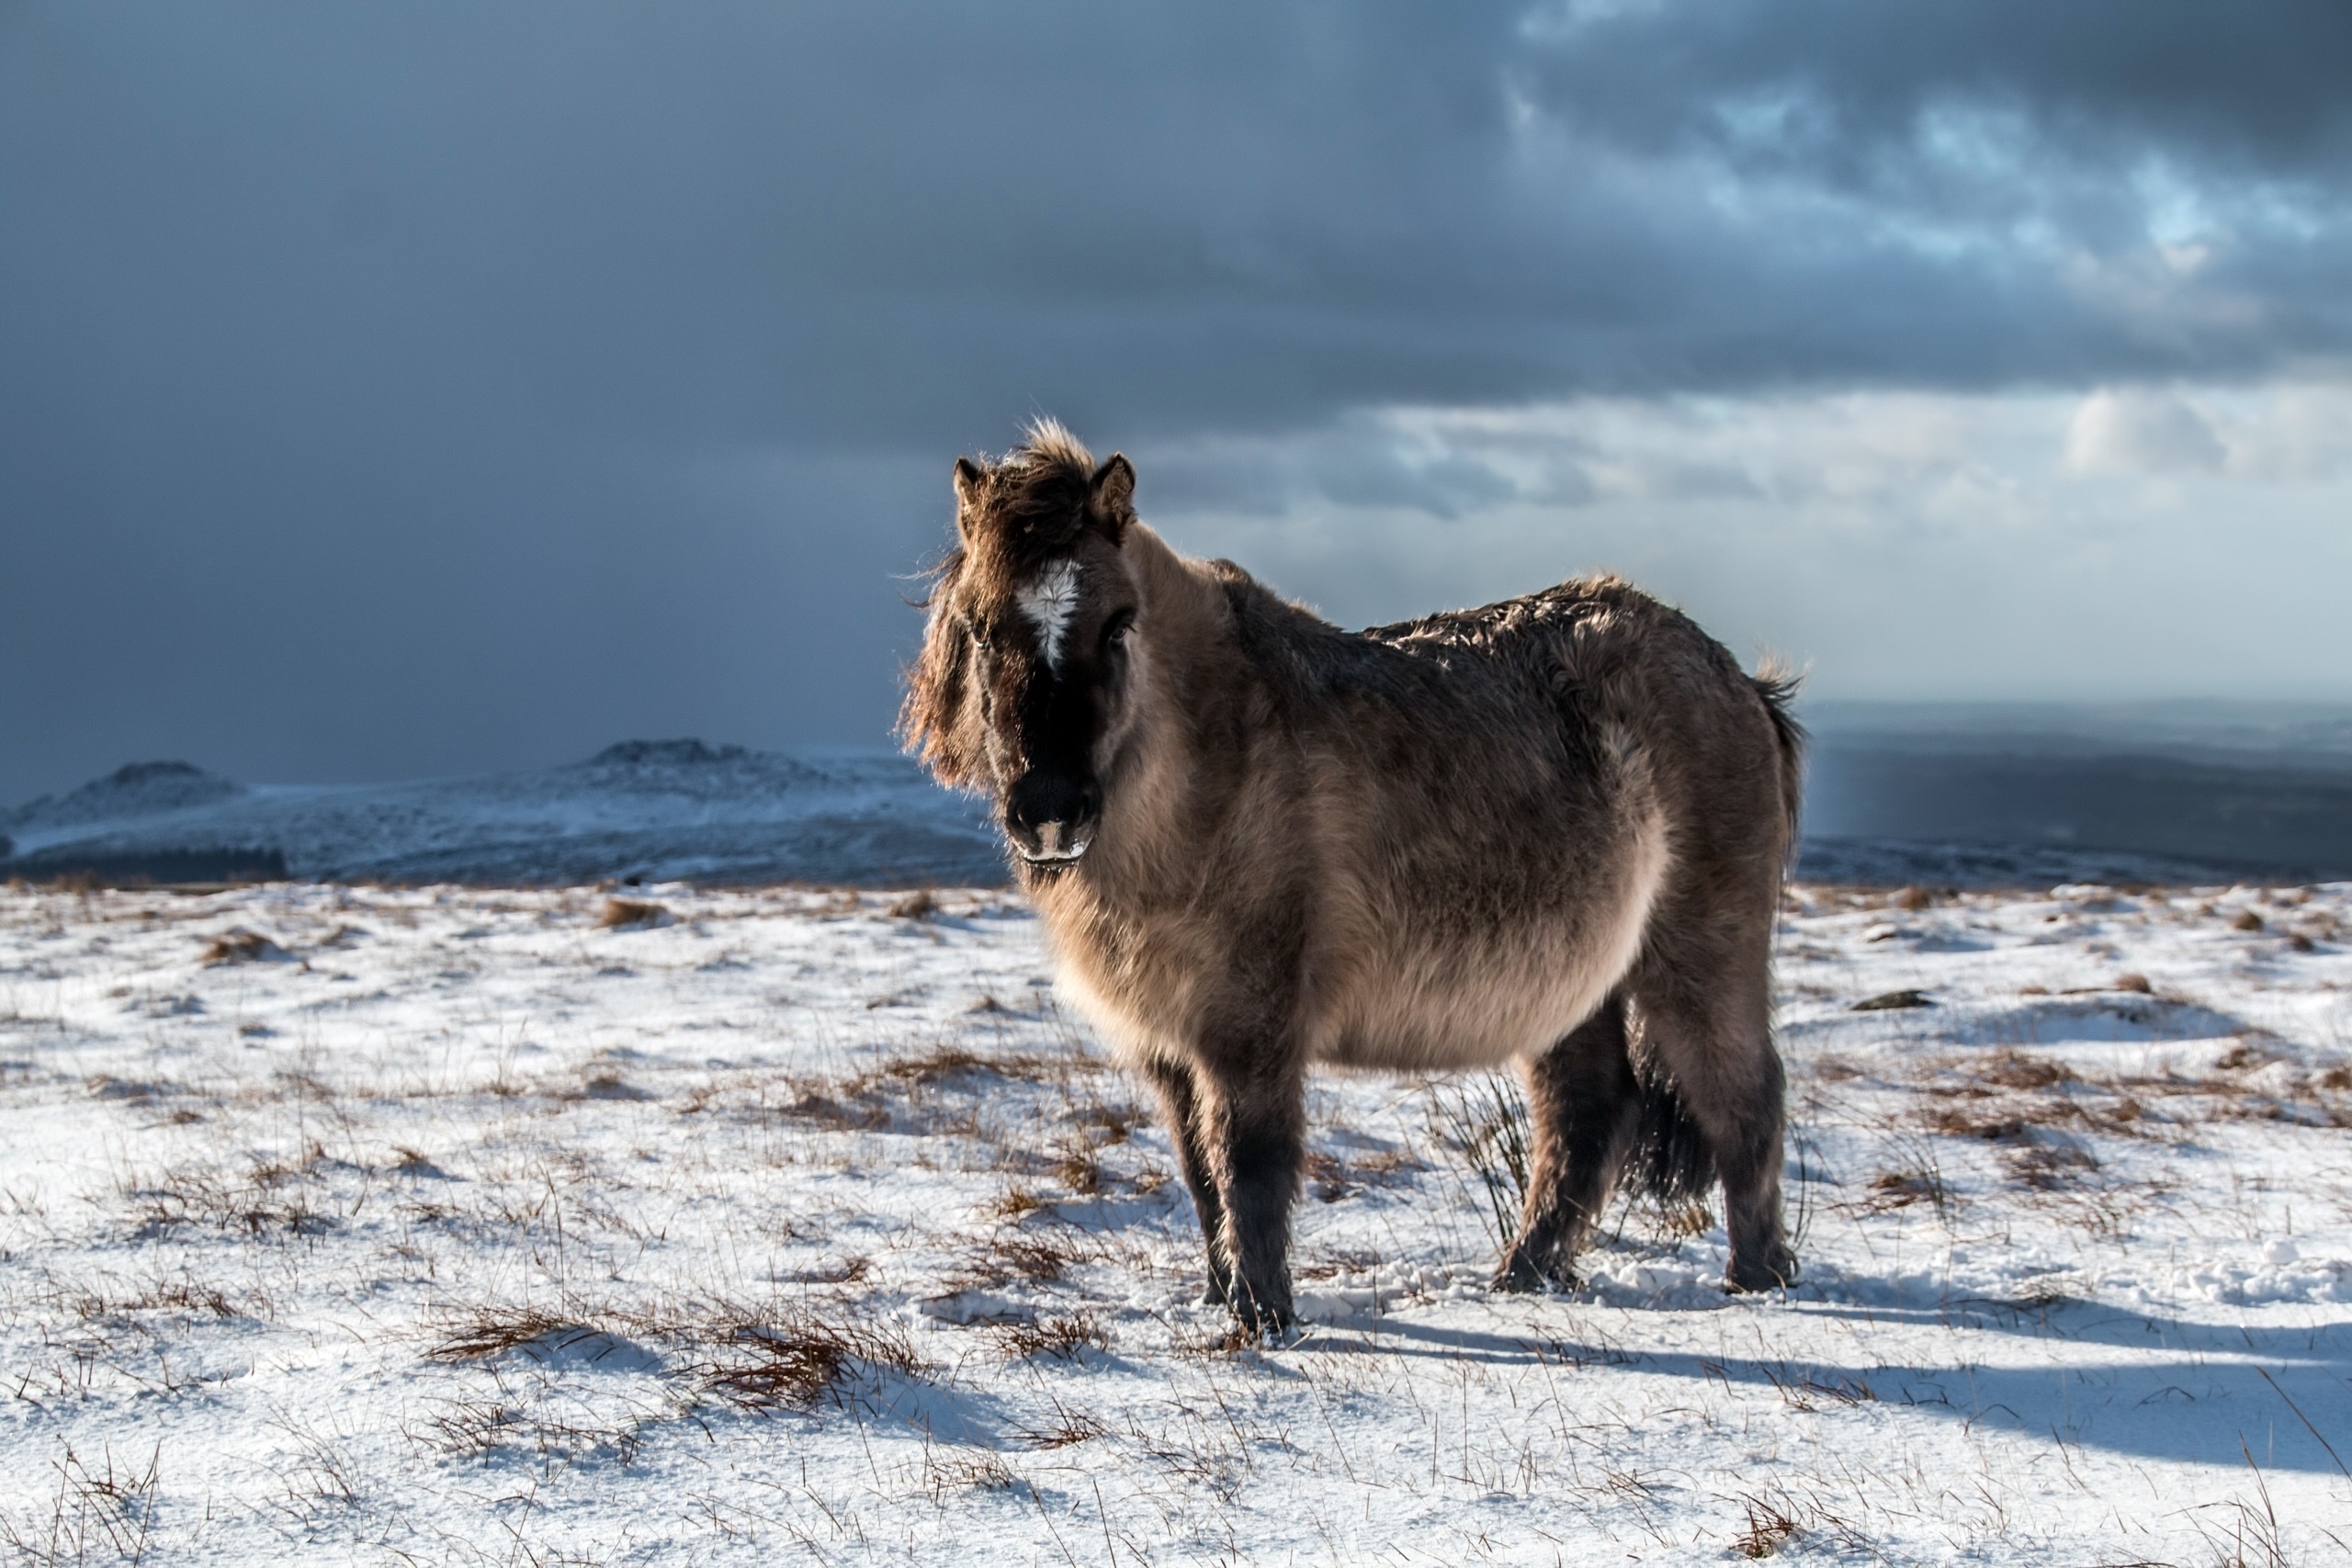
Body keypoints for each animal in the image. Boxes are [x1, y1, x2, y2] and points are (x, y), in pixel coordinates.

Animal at [898, 421, 1796, 1335]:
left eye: (1118, 625)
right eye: (980, 629)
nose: (1050, 811)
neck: (1207, 765)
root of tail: (1736, 679)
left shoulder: (1249, 1026)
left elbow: (1250, 1165)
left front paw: (1264, 1318)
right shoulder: (1172, 1044)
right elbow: (1199, 1172)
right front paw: (1222, 1297)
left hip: (1699, 957)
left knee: (1742, 1099)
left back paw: (1756, 1280)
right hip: (1575, 985)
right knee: (1587, 1116)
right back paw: (1524, 1276)